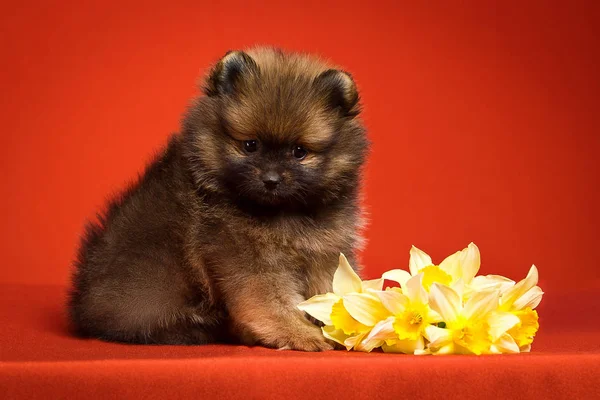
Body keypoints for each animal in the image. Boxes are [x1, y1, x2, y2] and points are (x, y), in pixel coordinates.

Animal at [69, 47, 370, 350]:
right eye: (250, 145)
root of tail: (82, 306)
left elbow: (329, 290)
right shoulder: (248, 261)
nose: (271, 179)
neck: (284, 213)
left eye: (299, 152)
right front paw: (300, 333)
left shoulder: (325, 252)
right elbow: (271, 302)